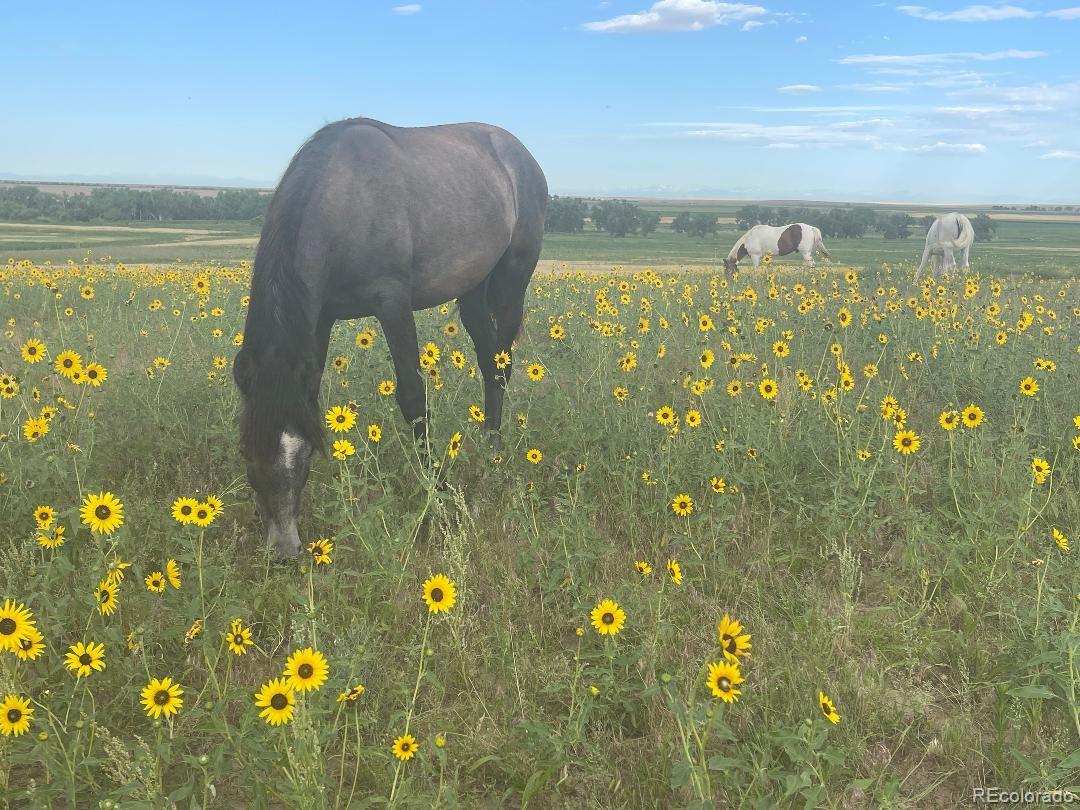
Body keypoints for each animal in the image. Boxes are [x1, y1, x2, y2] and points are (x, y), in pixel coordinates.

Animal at [231, 117, 544, 557]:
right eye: (245, 449)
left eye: (304, 450)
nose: (284, 550)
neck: (343, 202)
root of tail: (518, 153)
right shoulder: (321, 317)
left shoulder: (393, 303)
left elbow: (413, 397)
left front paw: (438, 493)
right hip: (471, 290)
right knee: (487, 361)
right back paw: (487, 448)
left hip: (512, 281)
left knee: (502, 364)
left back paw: (495, 455)